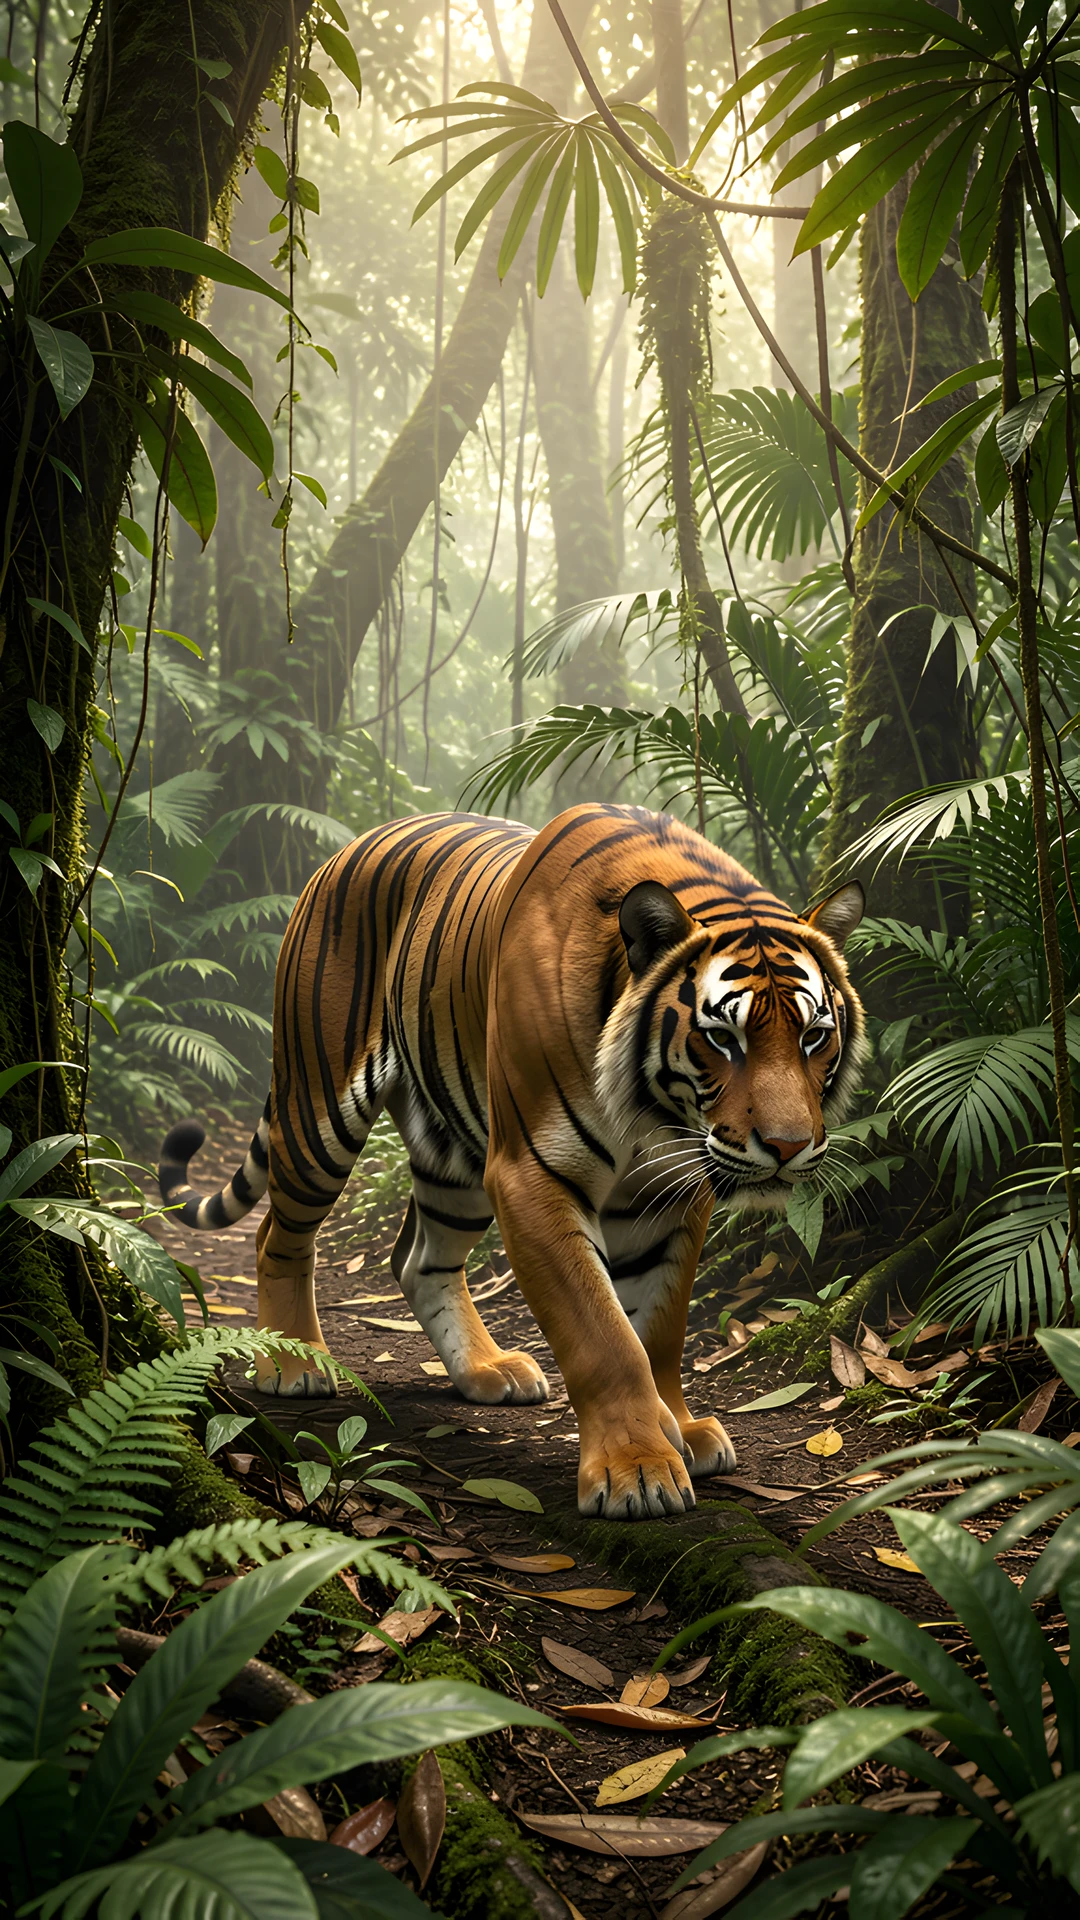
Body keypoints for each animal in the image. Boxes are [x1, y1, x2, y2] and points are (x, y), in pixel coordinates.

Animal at [159, 803, 866, 1520]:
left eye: (814, 1036)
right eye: (723, 1037)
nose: (787, 1146)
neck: (652, 1112)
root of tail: (339, 853)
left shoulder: (669, 1188)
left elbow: (660, 1329)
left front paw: (681, 1430)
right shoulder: (534, 1172)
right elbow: (603, 1336)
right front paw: (637, 1469)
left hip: (455, 1153)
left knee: (419, 1259)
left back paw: (485, 1369)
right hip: (320, 1106)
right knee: (279, 1234)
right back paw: (295, 1364)